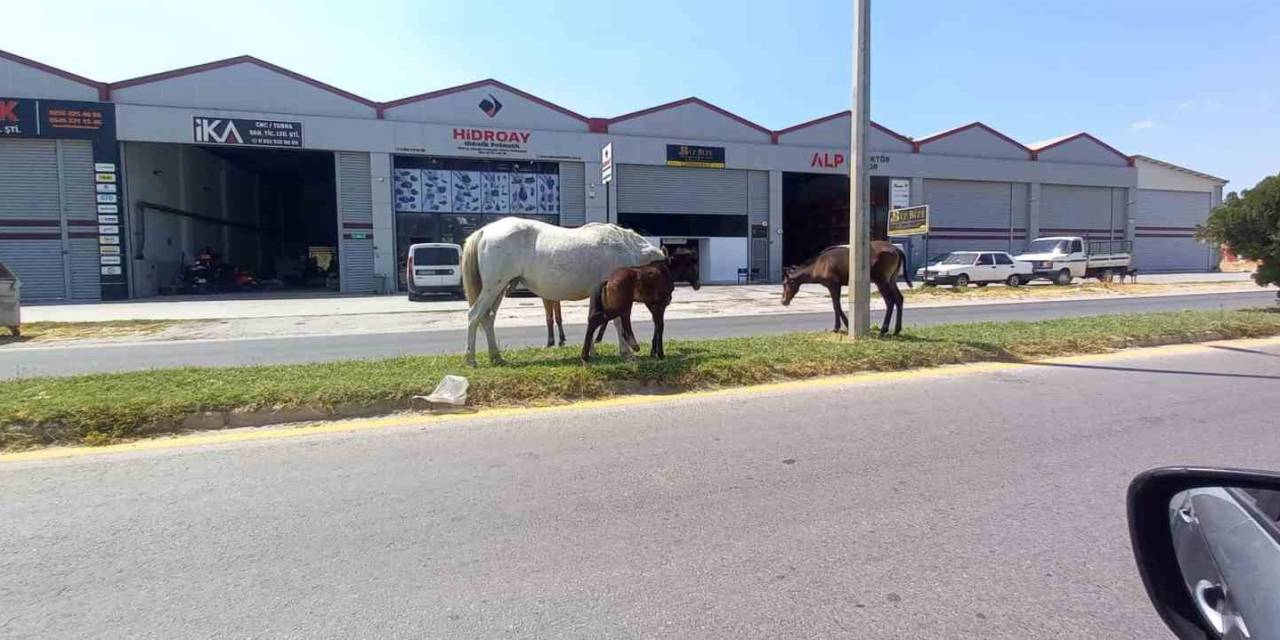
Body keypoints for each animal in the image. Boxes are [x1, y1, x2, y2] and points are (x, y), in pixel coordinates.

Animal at [460, 217, 665, 366]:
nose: (664, 302)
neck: (625, 247)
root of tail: (485, 231)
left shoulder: (595, 292)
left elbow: (594, 318)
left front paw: (591, 350)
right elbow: (617, 322)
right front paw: (626, 352)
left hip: (499, 289)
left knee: (488, 318)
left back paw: (496, 356)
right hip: (493, 287)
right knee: (474, 316)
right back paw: (470, 359)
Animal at [778, 240, 911, 335]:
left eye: (785, 284)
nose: (783, 301)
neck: (817, 268)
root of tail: (897, 250)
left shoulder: (833, 284)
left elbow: (836, 305)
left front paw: (840, 326)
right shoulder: (835, 285)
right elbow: (837, 305)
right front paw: (844, 325)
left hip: (881, 280)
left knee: (890, 301)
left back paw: (884, 330)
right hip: (892, 279)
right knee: (899, 299)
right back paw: (897, 330)